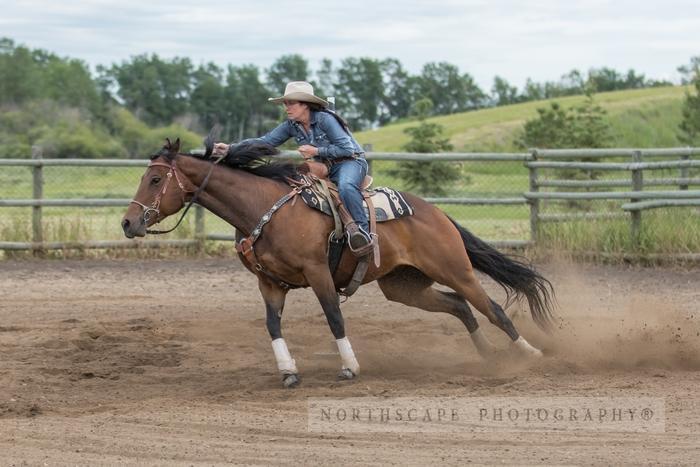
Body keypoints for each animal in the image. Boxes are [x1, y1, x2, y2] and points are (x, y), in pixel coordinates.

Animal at [123, 138, 556, 388]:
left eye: (156, 180)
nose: (128, 223)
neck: (264, 209)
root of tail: (436, 213)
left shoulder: (318, 274)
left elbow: (334, 317)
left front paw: (350, 367)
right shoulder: (269, 283)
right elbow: (272, 325)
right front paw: (288, 371)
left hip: (455, 269)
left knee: (492, 307)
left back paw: (531, 355)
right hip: (404, 285)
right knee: (459, 306)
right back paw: (487, 357)